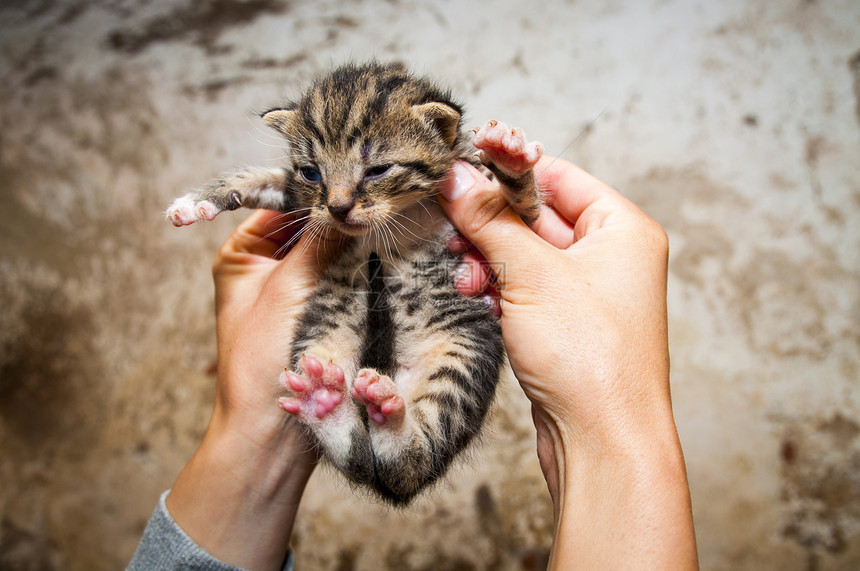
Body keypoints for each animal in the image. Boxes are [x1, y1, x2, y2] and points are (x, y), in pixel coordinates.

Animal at [166, 61, 544, 504]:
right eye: (312, 172)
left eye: (378, 170)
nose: (338, 208)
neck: (403, 212)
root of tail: (390, 374)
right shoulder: (298, 198)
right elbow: (260, 177)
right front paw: (197, 202)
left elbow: (526, 210)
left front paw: (509, 157)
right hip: (317, 339)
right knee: (364, 459)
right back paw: (326, 404)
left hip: (465, 352)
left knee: (408, 467)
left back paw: (389, 424)